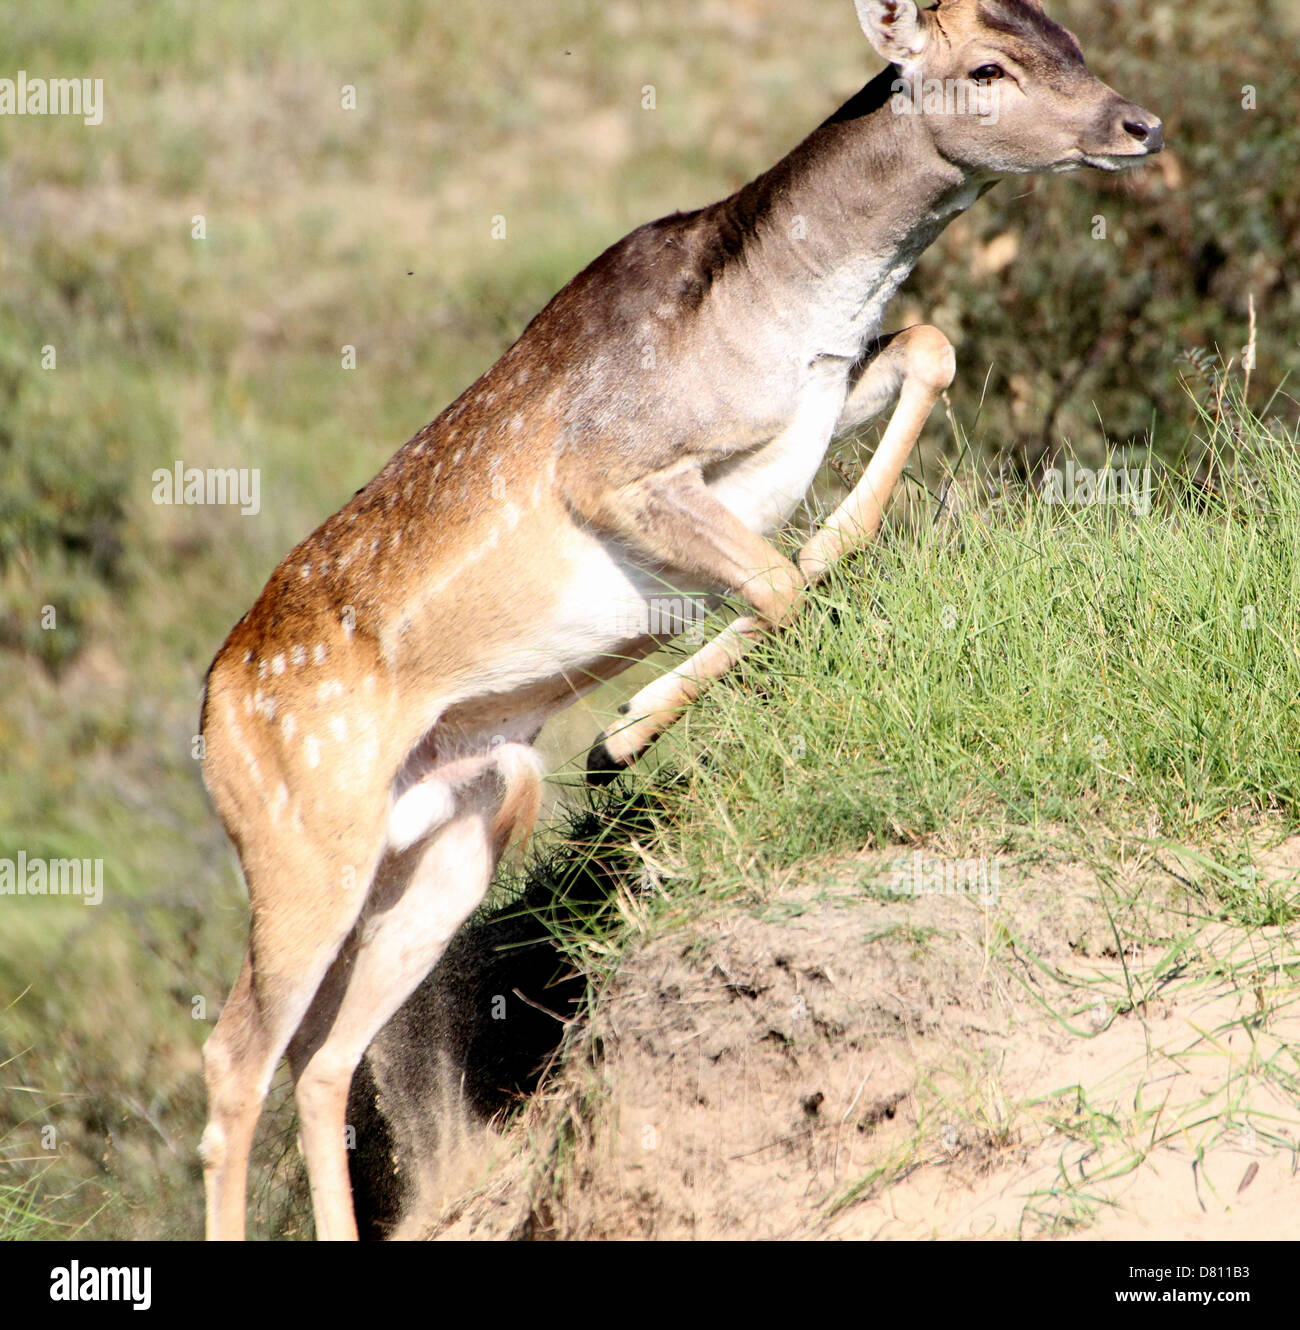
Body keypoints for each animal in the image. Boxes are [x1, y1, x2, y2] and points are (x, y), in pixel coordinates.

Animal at [197, 0, 1162, 1240]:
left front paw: (627, 729)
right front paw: (621, 737)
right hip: (300, 836)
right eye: (987, 65)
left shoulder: (814, 407)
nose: (1136, 124)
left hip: (457, 823)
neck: (785, 314)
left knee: (325, 1059)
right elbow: (777, 584)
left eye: (1068, 35)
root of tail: (207, 718)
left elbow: (925, 356)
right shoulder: (615, 472)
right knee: (234, 1060)